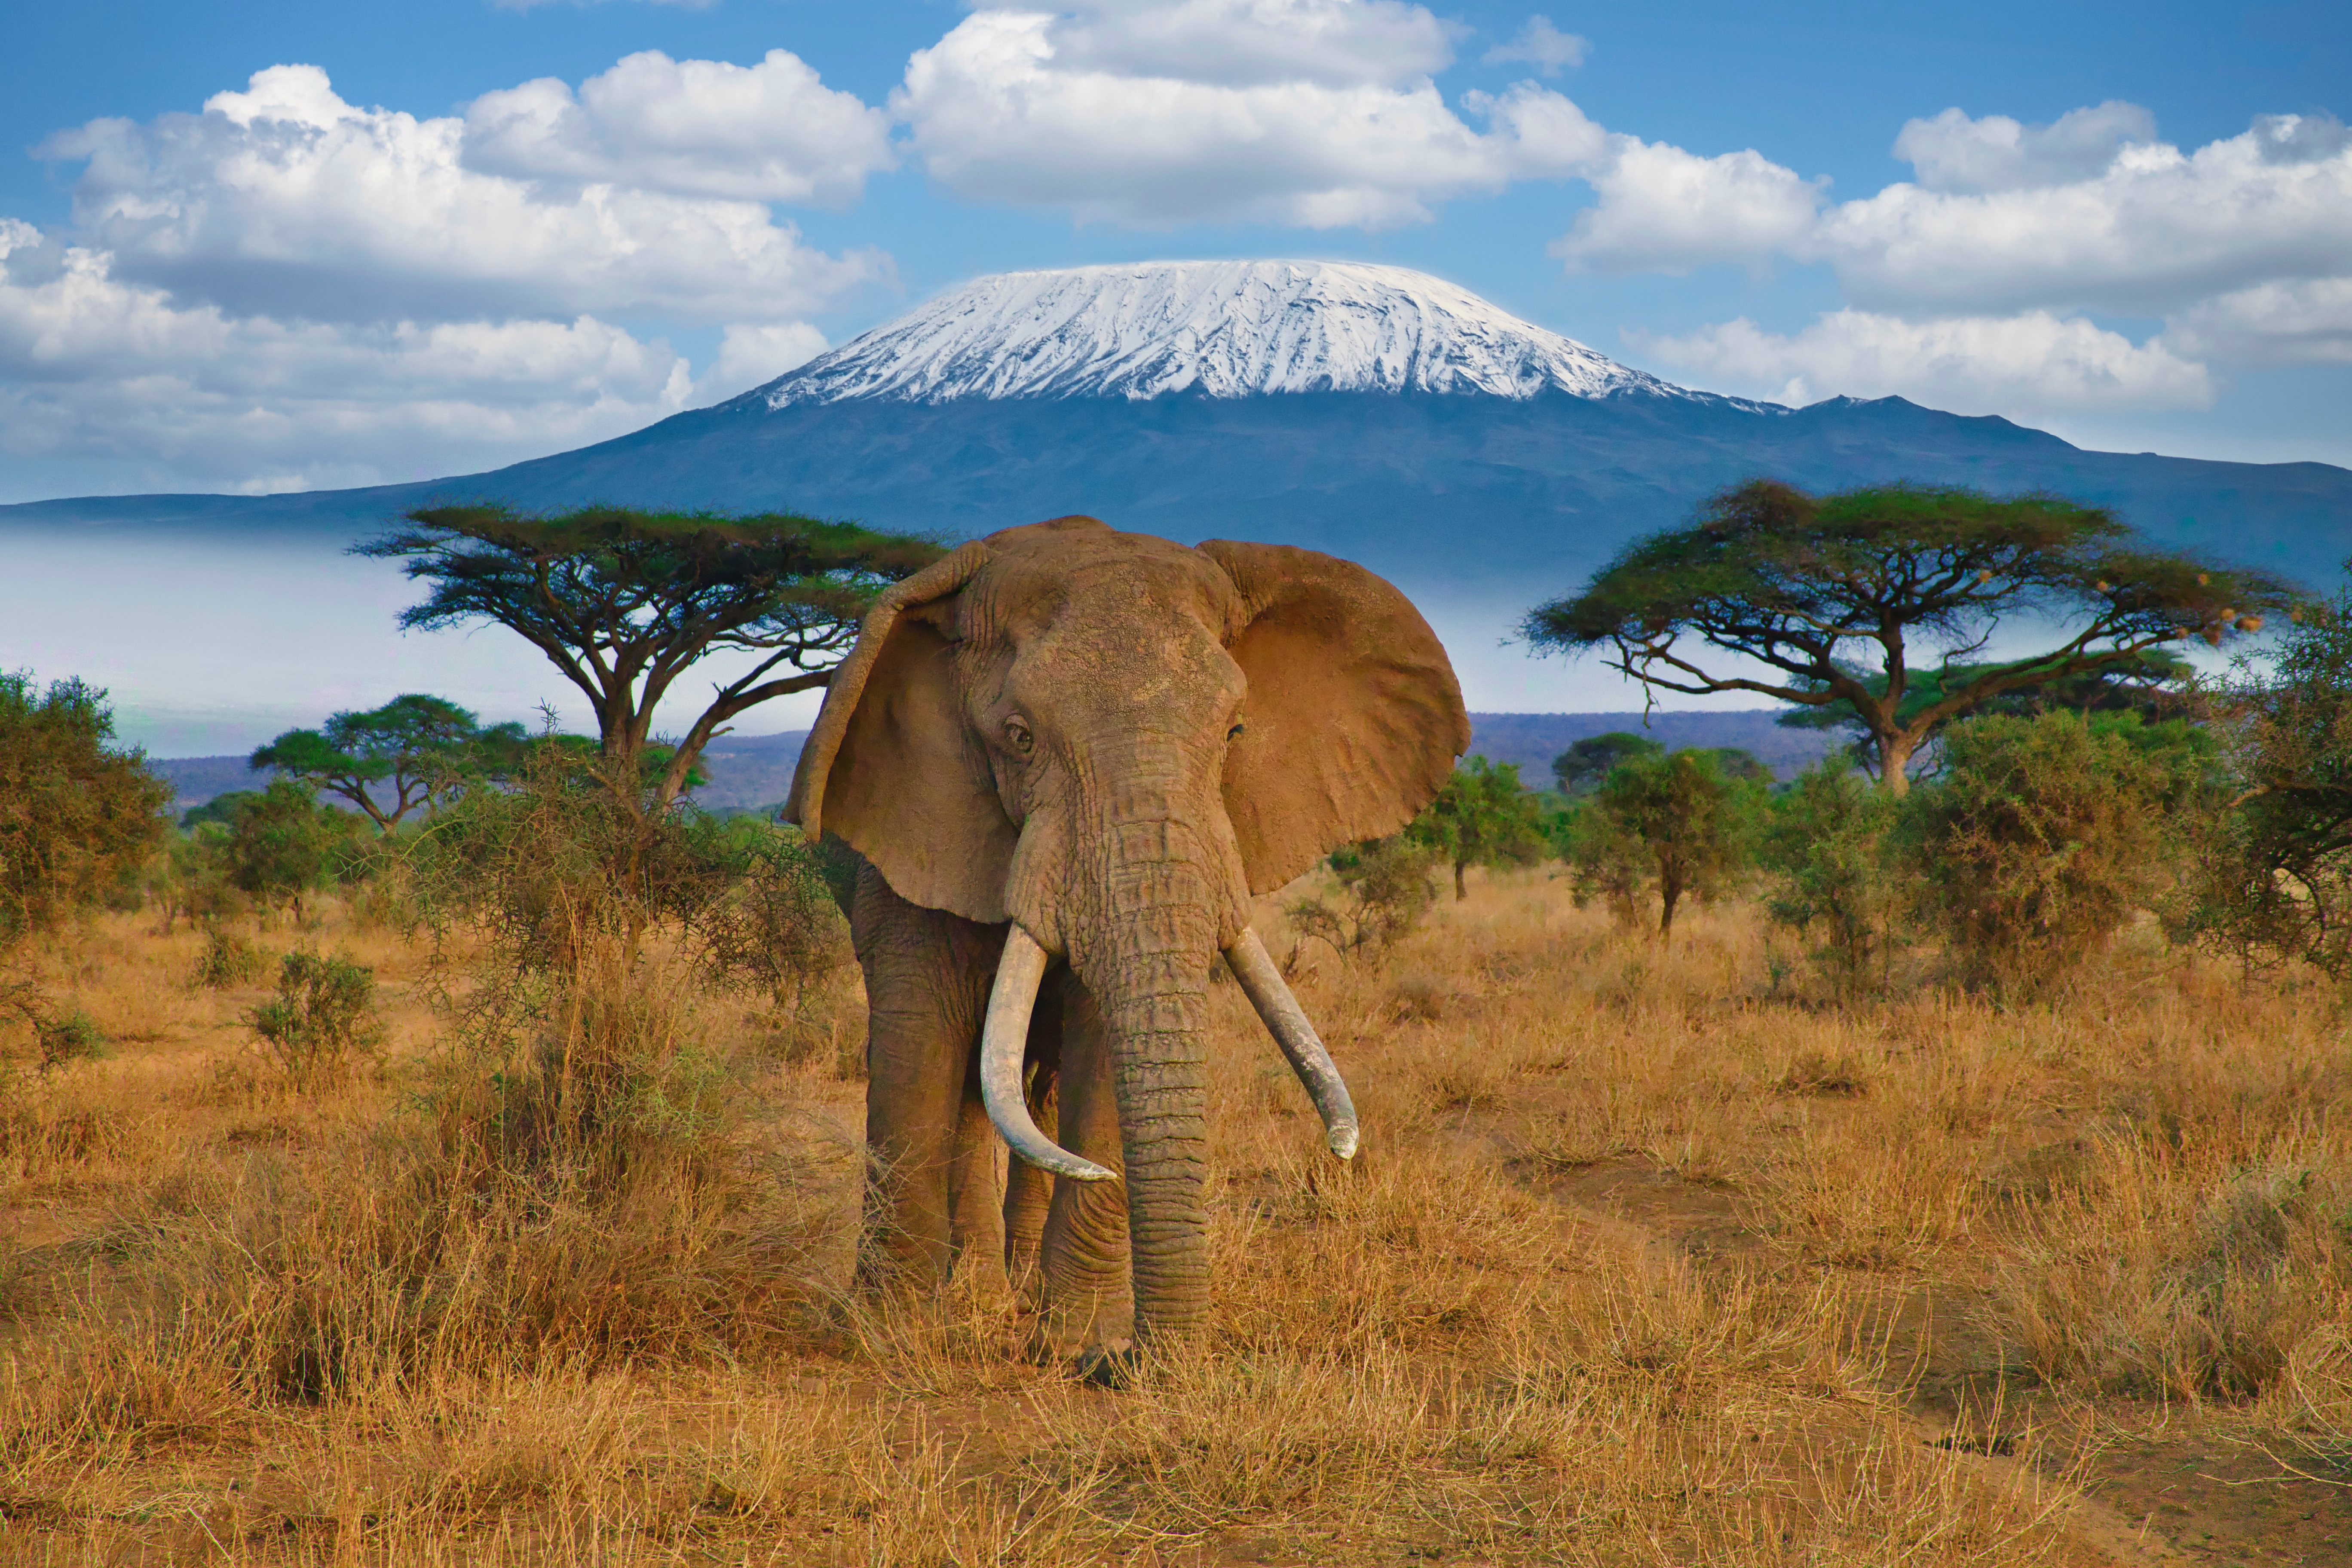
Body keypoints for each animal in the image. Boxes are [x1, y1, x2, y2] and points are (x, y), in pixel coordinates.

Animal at [785, 515, 1469, 1365]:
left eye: (1235, 731)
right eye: (1018, 738)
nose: (1130, 1363)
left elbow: (1102, 1037)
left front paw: (1074, 1340)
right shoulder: (918, 813)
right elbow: (917, 1033)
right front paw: (887, 1334)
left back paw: (1011, 1284)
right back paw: (977, 1288)